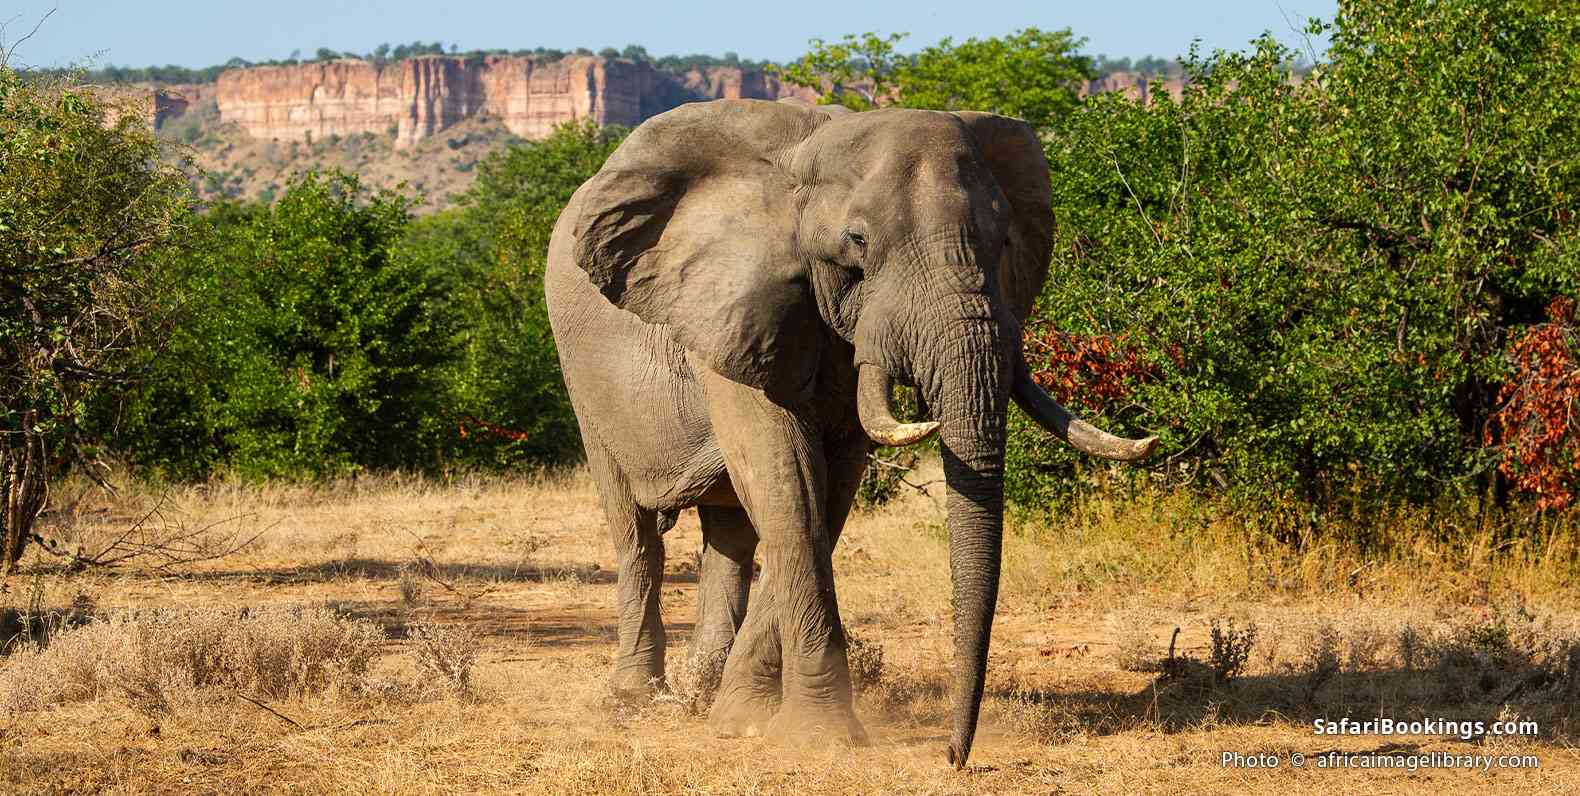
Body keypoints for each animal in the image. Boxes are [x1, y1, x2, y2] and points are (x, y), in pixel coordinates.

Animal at [549, 96, 1156, 767]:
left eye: (1003, 241)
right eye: (858, 243)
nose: (954, 756)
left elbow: (828, 491)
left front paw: (741, 721)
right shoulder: (734, 304)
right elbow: (788, 482)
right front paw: (818, 737)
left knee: (730, 532)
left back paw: (701, 693)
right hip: (582, 376)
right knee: (634, 529)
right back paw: (636, 698)